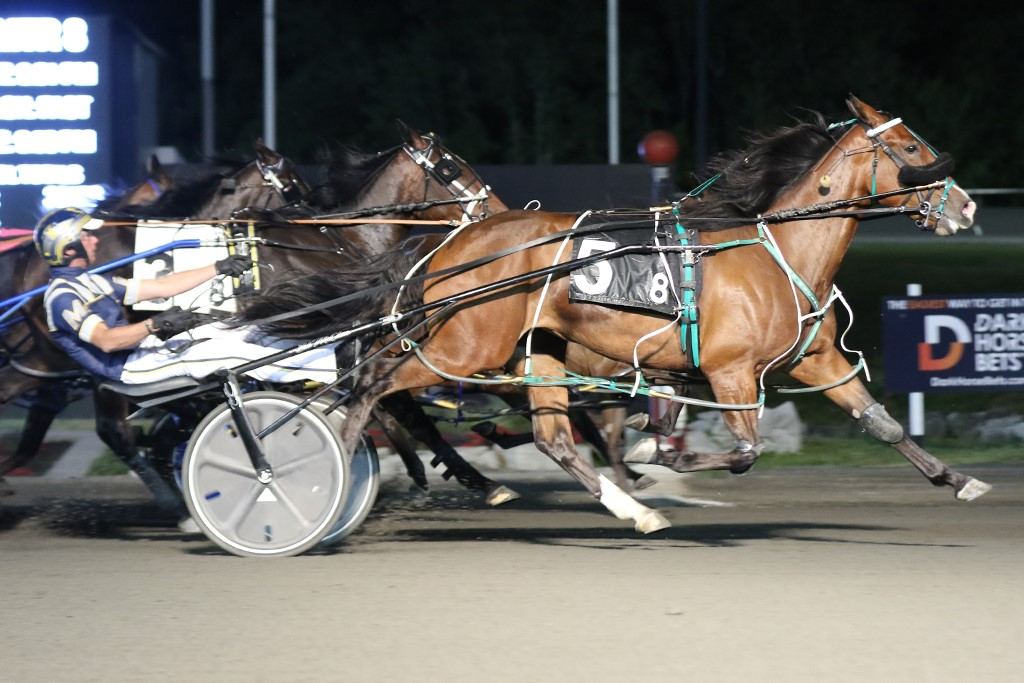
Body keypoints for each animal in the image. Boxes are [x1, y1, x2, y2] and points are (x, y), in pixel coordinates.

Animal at [249, 97, 991, 532]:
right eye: (914, 148)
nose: (968, 205)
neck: (774, 250)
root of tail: (452, 241)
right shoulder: (729, 371)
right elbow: (742, 451)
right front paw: (653, 449)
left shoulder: (815, 358)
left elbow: (882, 422)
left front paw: (957, 478)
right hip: (465, 346)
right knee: (374, 385)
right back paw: (331, 472)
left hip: (537, 352)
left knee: (549, 438)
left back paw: (630, 510)